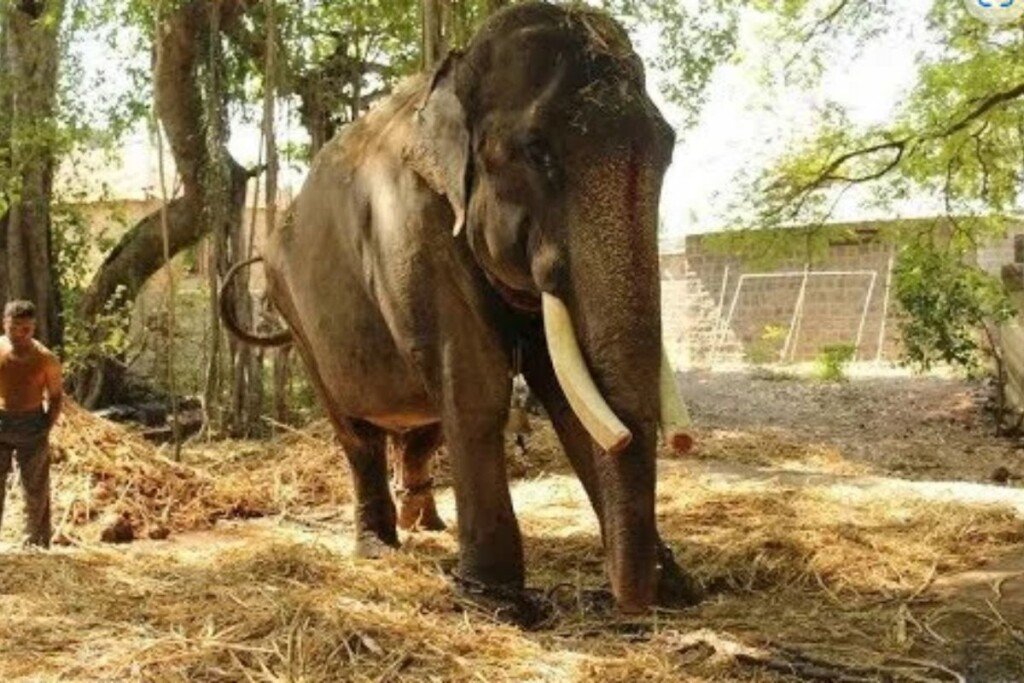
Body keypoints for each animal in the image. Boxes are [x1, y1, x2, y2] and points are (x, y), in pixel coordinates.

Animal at [221, 1, 695, 615]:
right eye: (538, 151)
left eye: (668, 147)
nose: (634, 598)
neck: (454, 76)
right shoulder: (411, 227)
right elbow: (476, 388)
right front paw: (494, 600)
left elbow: (565, 396)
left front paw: (678, 585)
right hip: (294, 314)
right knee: (357, 433)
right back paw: (379, 546)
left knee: (423, 426)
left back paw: (426, 523)